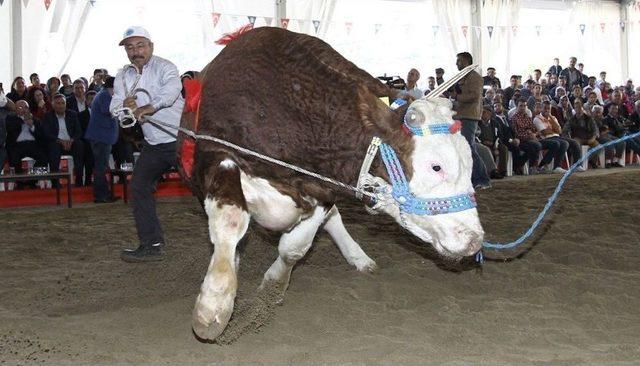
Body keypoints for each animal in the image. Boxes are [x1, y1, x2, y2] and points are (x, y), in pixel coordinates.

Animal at [175, 27, 484, 342]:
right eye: (436, 166)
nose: (475, 239)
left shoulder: (324, 185)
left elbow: (295, 247)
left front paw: (272, 288)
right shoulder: (217, 155)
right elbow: (230, 221)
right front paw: (214, 305)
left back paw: (359, 258)